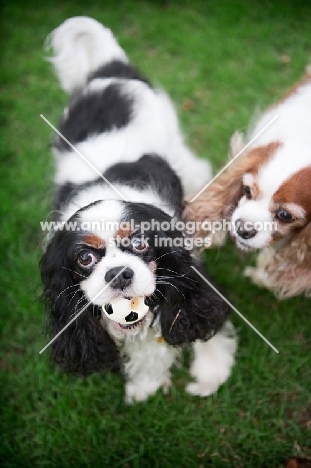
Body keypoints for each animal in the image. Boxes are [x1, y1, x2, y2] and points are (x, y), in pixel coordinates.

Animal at [41, 17, 236, 402]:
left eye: (141, 243)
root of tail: (109, 72)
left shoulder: (192, 272)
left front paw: (210, 374)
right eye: (85, 258)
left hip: (179, 153)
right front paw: (146, 385)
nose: (119, 274)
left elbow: (202, 323)